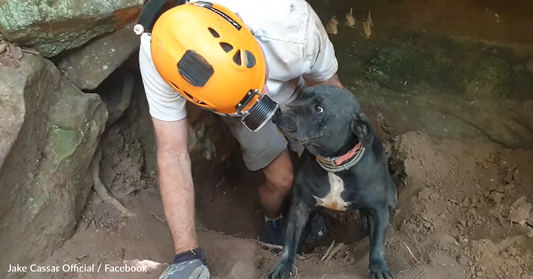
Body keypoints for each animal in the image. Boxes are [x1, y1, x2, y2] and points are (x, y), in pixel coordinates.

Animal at [268, 84, 396, 278]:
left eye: (318, 108)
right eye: (301, 96)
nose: (278, 109)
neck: (334, 164)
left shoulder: (378, 209)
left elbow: (377, 245)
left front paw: (379, 267)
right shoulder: (300, 206)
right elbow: (290, 240)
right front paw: (283, 265)